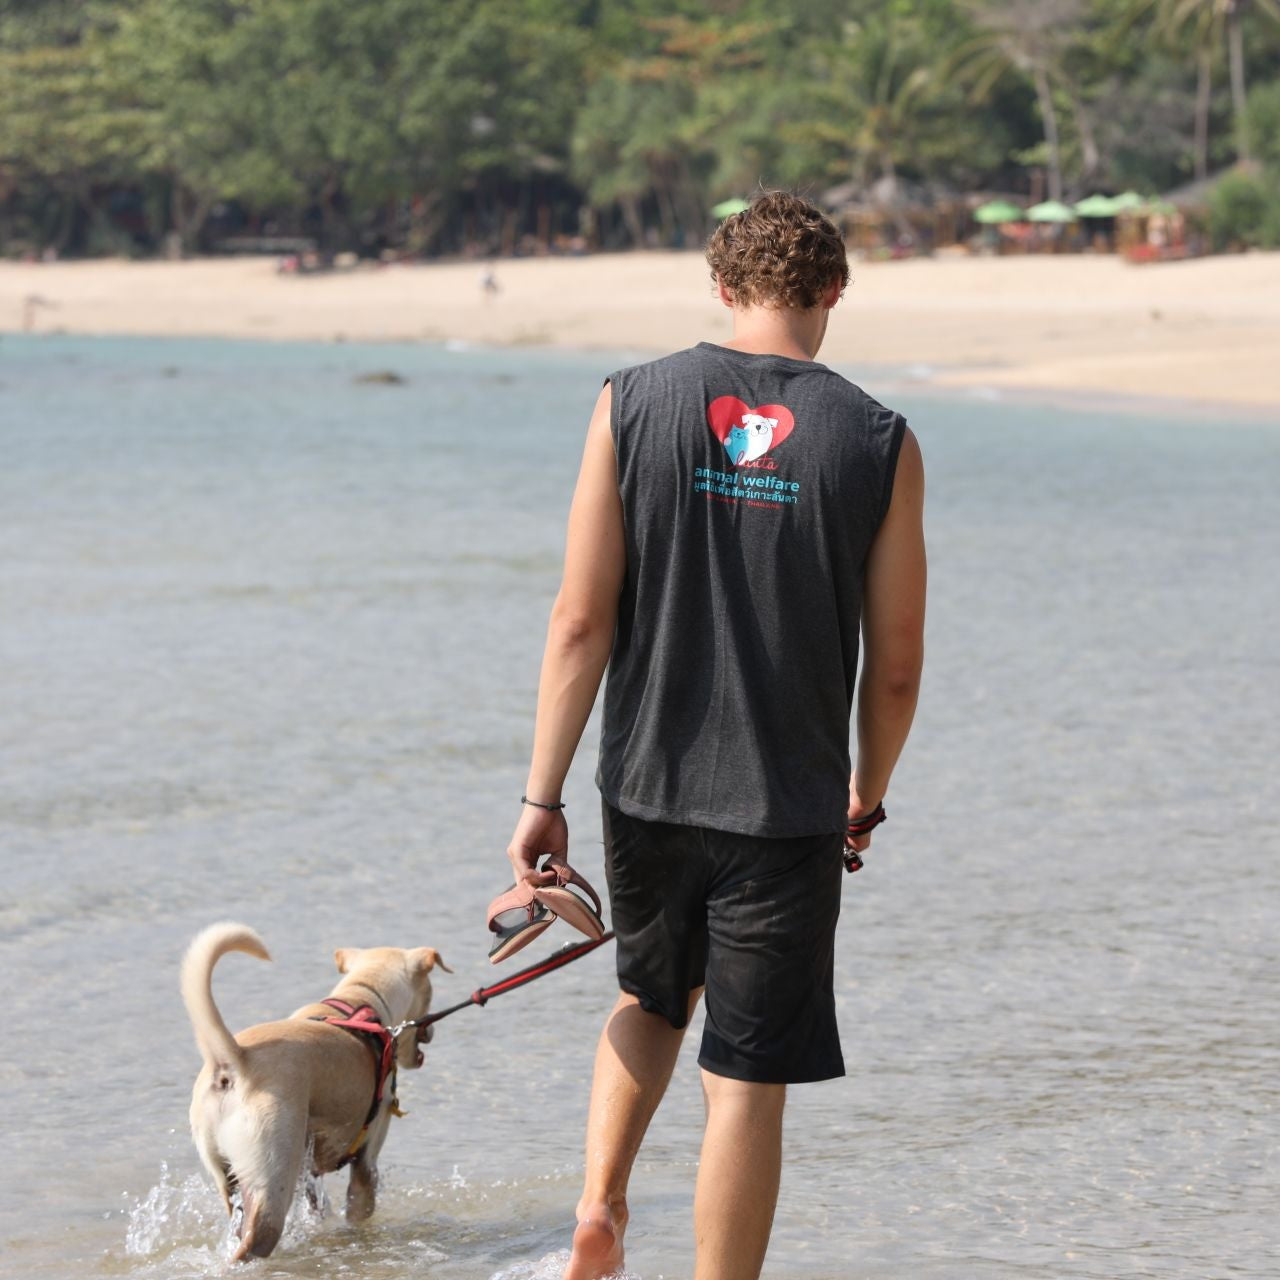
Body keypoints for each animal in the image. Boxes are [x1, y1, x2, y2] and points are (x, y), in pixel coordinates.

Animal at [180, 921, 450, 1259]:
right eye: (430, 994)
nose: (433, 1028)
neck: (362, 998)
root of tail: (234, 1062)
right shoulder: (366, 1161)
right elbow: (359, 1209)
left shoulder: (307, 1170)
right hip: (271, 1176)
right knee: (254, 1241)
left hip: (228, 1178)